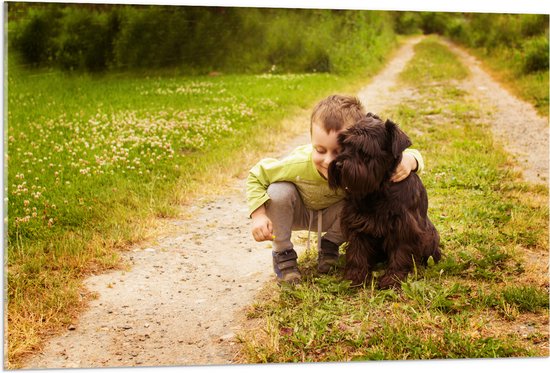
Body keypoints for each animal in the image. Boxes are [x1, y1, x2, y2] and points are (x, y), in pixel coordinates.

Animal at [330, 113, 442, 288]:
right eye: (344, 143)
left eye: (364, 149)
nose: (339, 163)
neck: (378, 188)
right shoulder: (357, 223)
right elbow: (357, 252)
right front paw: (354, 277)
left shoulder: (403, 227)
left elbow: (400, 253)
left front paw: (393, 278)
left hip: (431, 236)